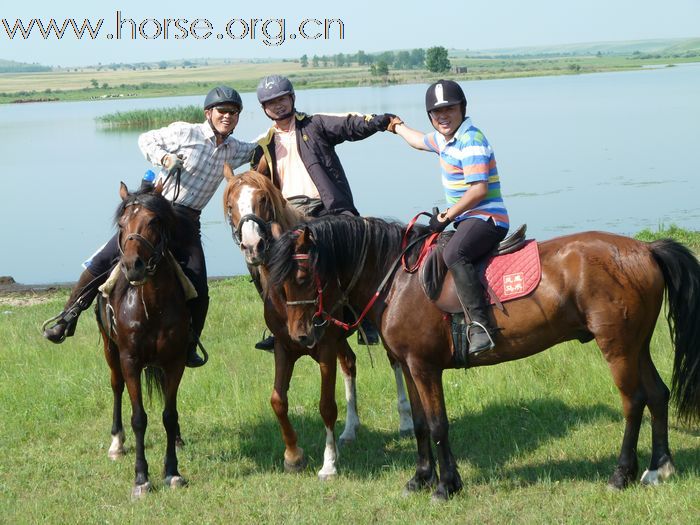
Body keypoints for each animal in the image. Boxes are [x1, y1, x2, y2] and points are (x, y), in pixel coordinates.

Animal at [95, 182, 193, 498]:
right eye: (122, 224)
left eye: (153, 221)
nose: (132, 266)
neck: (151, 305)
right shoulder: (130, 361)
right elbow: (139, 419)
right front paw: (141, 478)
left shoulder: (174, 362)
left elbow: (169, 415)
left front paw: (172, 472)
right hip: (110, 349)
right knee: (116, 387)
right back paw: (116, 442)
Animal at [221, 168, 412, 478]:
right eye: (230, 206)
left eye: (263, 199)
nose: (252, 246)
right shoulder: (284, 348)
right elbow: (278, 401)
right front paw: (293, 456)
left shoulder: (325, 348)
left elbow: (326, 406)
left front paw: (329, 463)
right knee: (350, 364)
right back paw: (350, 429)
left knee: (394, 362)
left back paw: (405, 420)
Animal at [266, 214, 700, 500]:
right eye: (277, 282)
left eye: (302, 276)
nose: (301, 336)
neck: (398, 279)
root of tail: (645, 249)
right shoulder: (408, 365)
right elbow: (420, 425)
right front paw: (420, 478)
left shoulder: (425, 367)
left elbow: (438, 425)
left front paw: (446, 485)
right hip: (636, 344)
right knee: (658, 395)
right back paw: (658, 467)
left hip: (617, 346)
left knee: (634, 402)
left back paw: (621, 474)